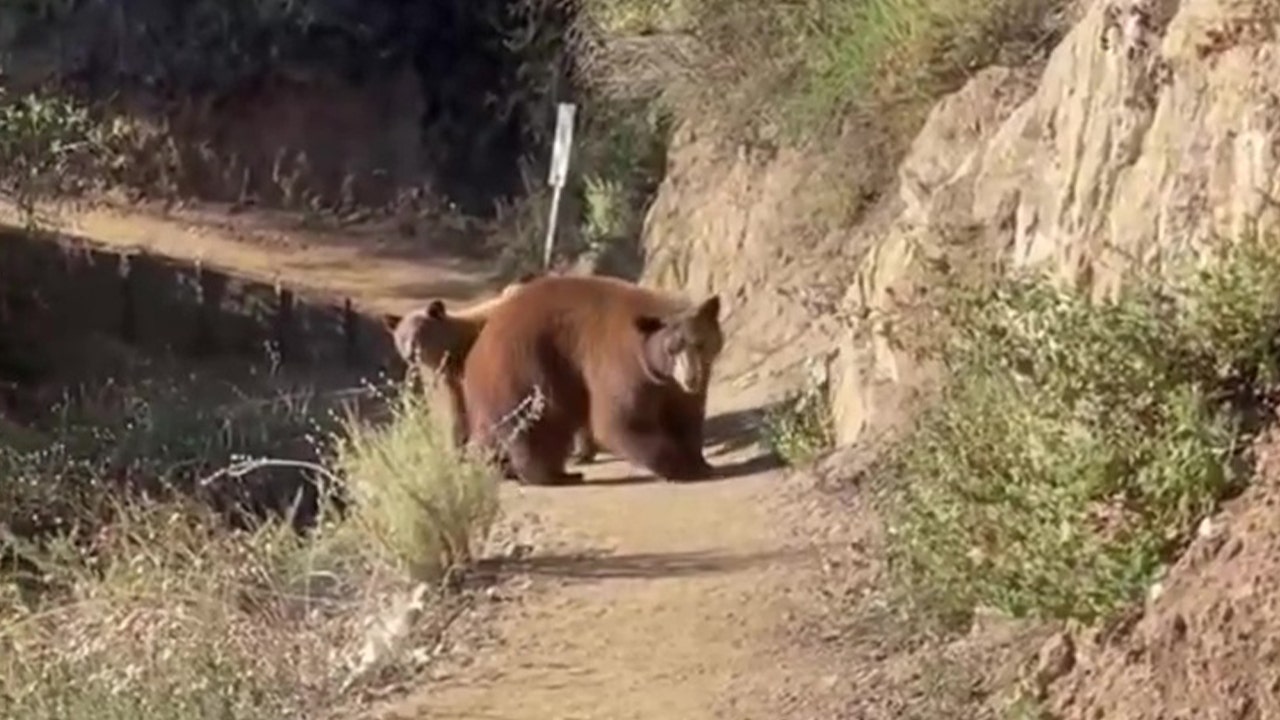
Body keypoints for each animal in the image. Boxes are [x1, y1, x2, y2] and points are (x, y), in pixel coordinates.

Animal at [463, 271, 727, 484]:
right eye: (671, 349)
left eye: (700, 343)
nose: (691, 378)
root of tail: (476, 351)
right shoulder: (623, 366)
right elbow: (622, 419)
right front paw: (679, 468)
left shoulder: (675, 386)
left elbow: (687, 416)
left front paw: (700, 463)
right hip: (525, 371)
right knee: (538, 426)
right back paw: (553, 475)